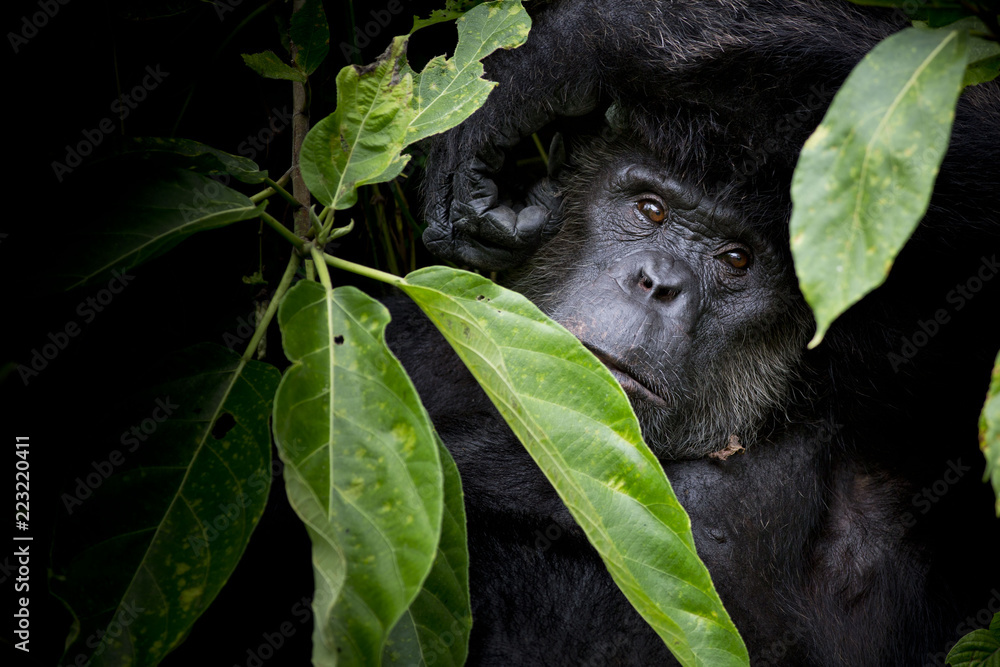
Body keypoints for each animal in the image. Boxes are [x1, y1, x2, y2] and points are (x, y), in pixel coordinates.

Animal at [386, 2, 1000, 664]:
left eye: (736, 260)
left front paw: (552, 61)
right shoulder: (414, 340)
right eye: (650, 209)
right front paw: (532, 77)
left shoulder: (908, 409)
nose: (658, 282)